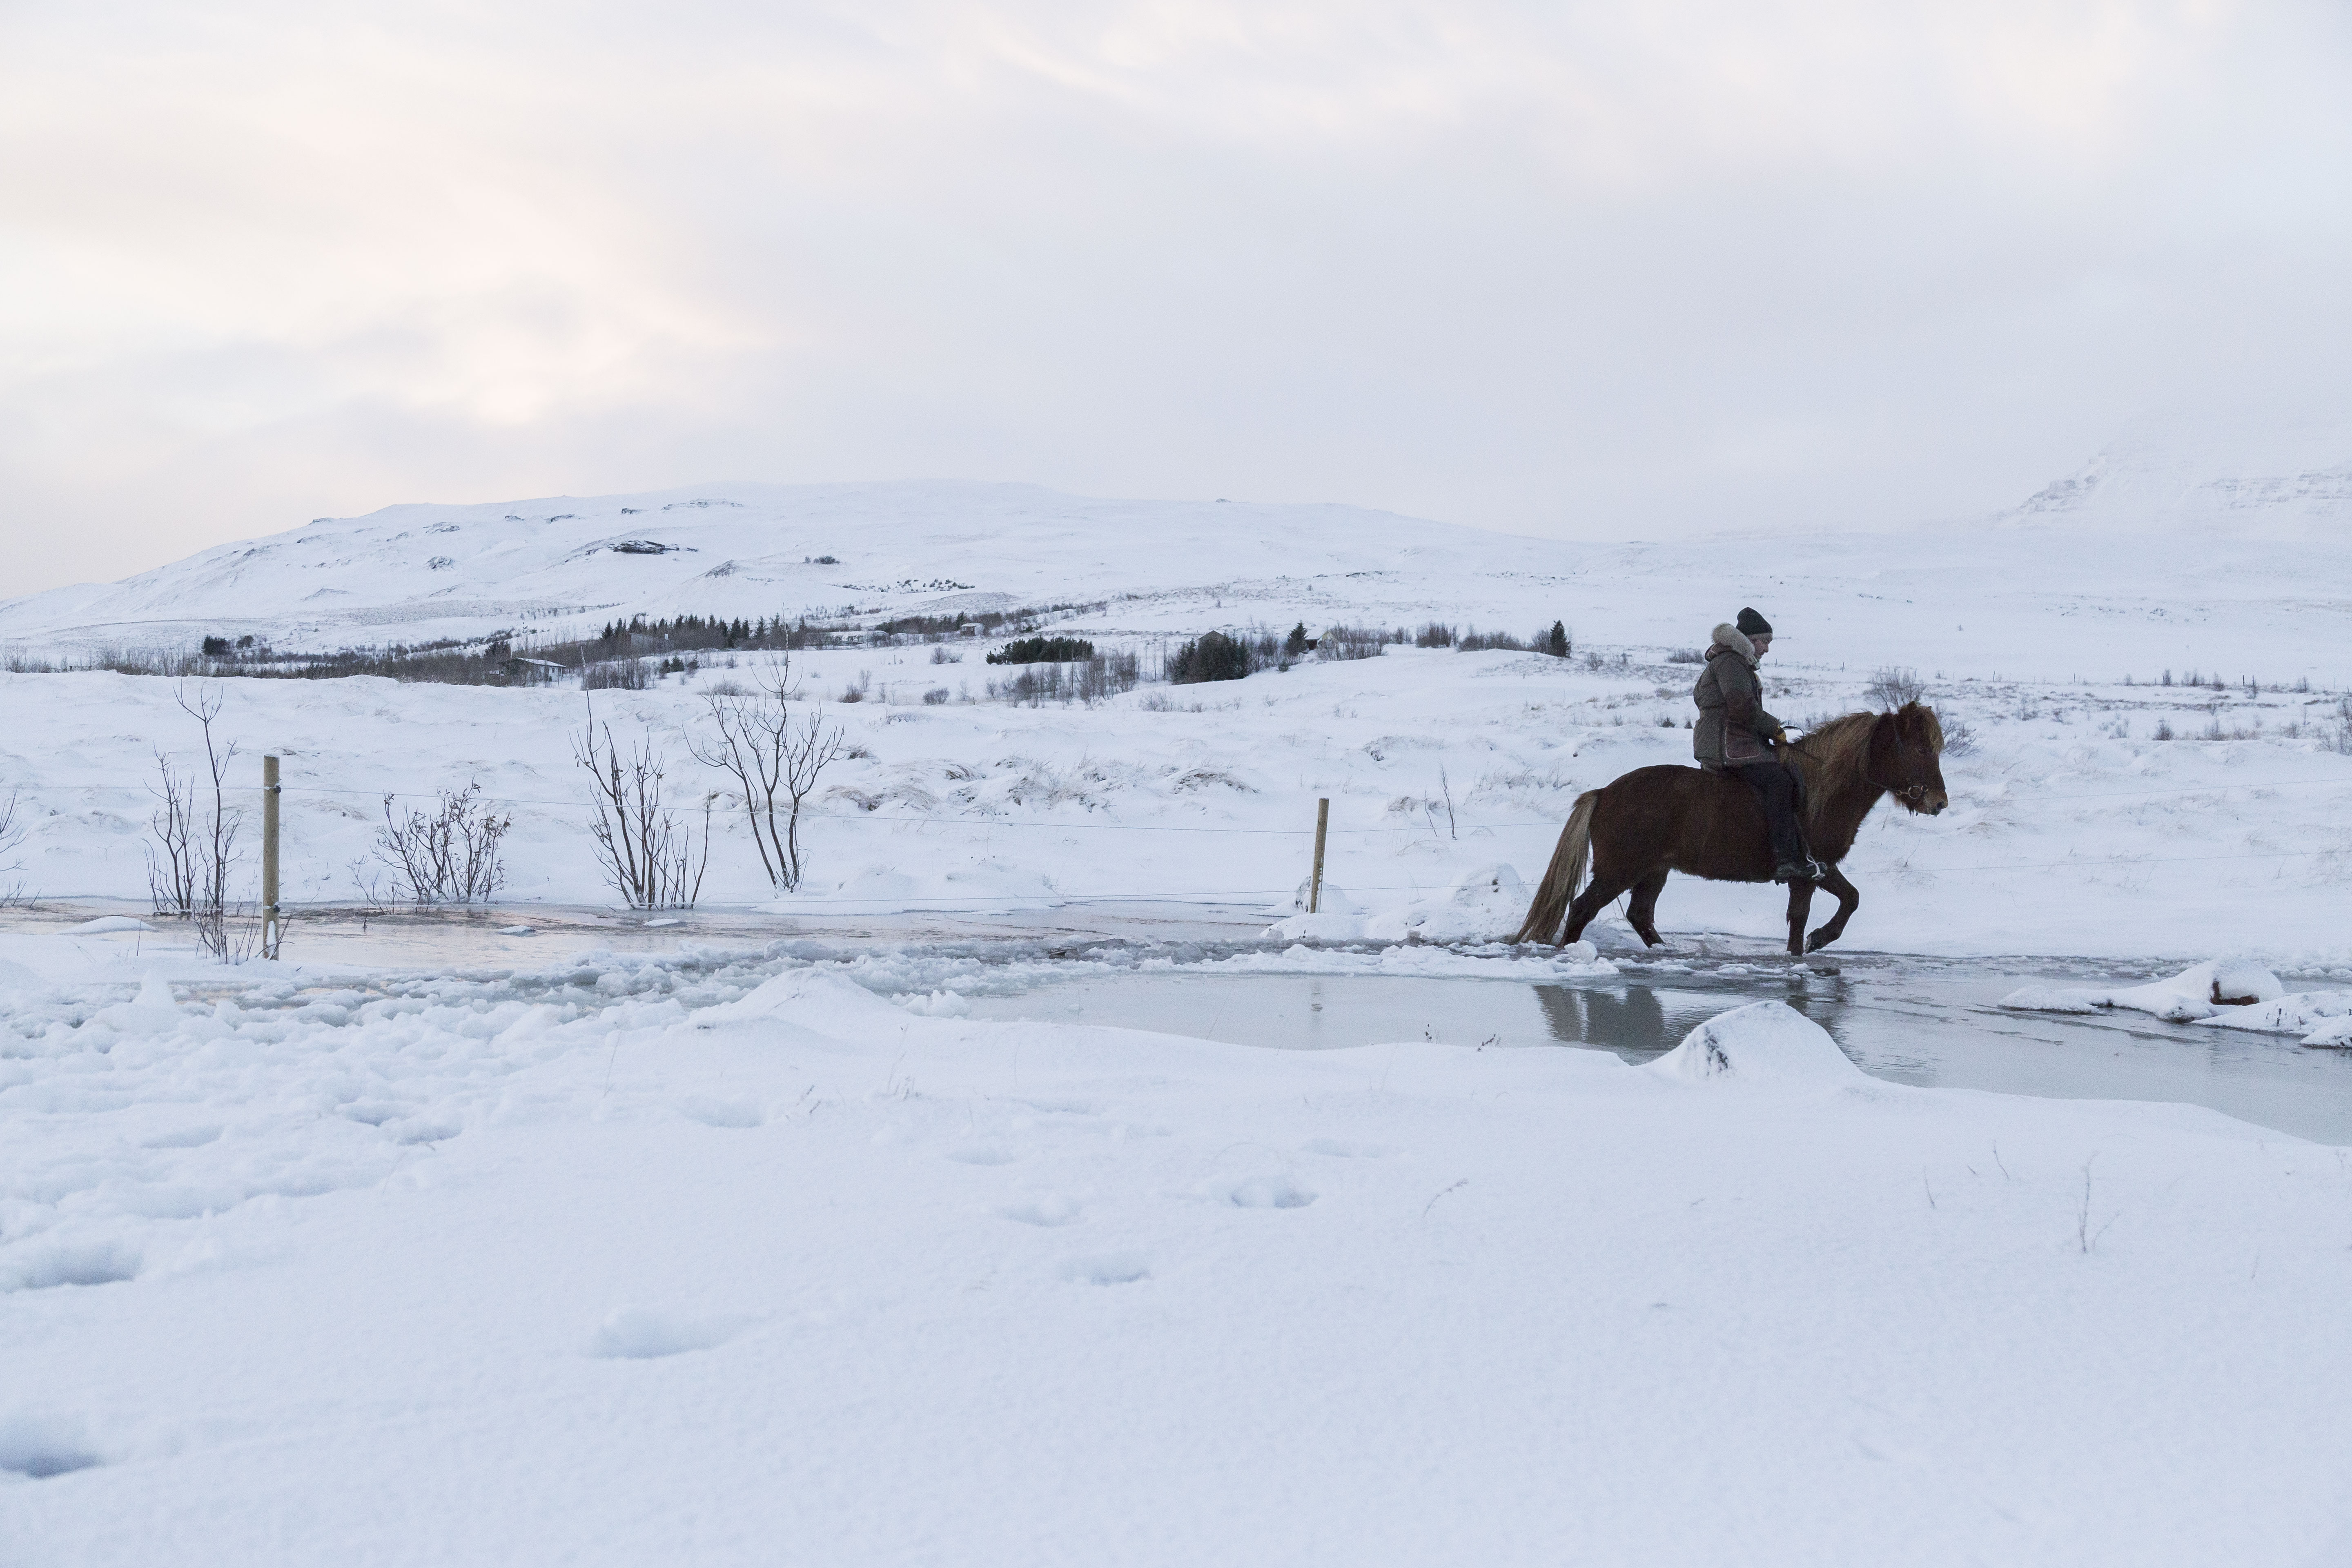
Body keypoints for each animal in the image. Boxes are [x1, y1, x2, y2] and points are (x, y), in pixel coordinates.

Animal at [1512, 702, 1950, 956]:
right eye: (1921, 749)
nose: (1939, 803)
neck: (1821, 789)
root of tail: (1604, 793)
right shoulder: (1804, 874)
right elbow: (1800, 917)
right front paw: (1800, 953)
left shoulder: (1820, 867)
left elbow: (1852, 899)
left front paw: (1819, 939)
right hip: (1619, 871)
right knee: (1583, 909)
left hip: (1653, 871)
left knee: (1640, 915)